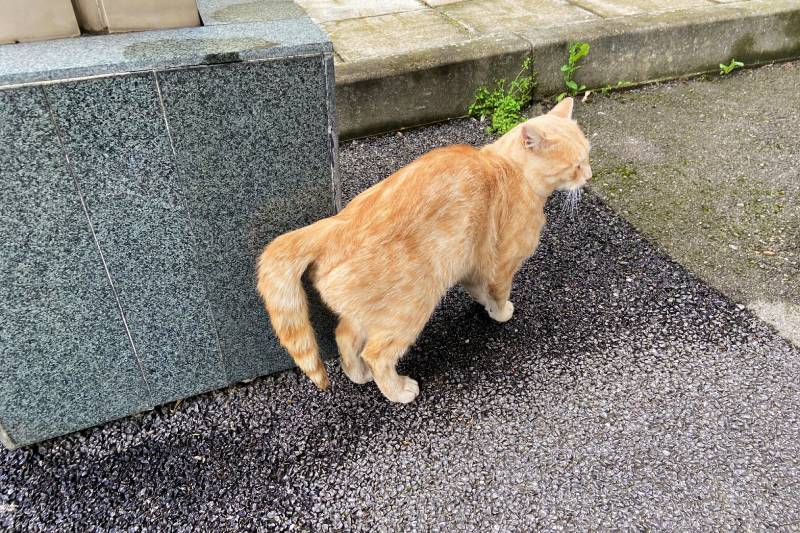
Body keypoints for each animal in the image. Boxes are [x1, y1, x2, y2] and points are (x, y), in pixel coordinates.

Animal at [256, 96, 588, 404]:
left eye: (587, 157)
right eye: (576, 165)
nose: (589, 176)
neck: (508, 167)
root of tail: (336, 226)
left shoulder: (471, 263)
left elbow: (478, 289)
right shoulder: (502, 264)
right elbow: (497, 292)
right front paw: (501, 313)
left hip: (369, 312)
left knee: (345, 337)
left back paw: (357, 375)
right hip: (410, 309)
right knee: (376, 354)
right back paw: (398, 390)